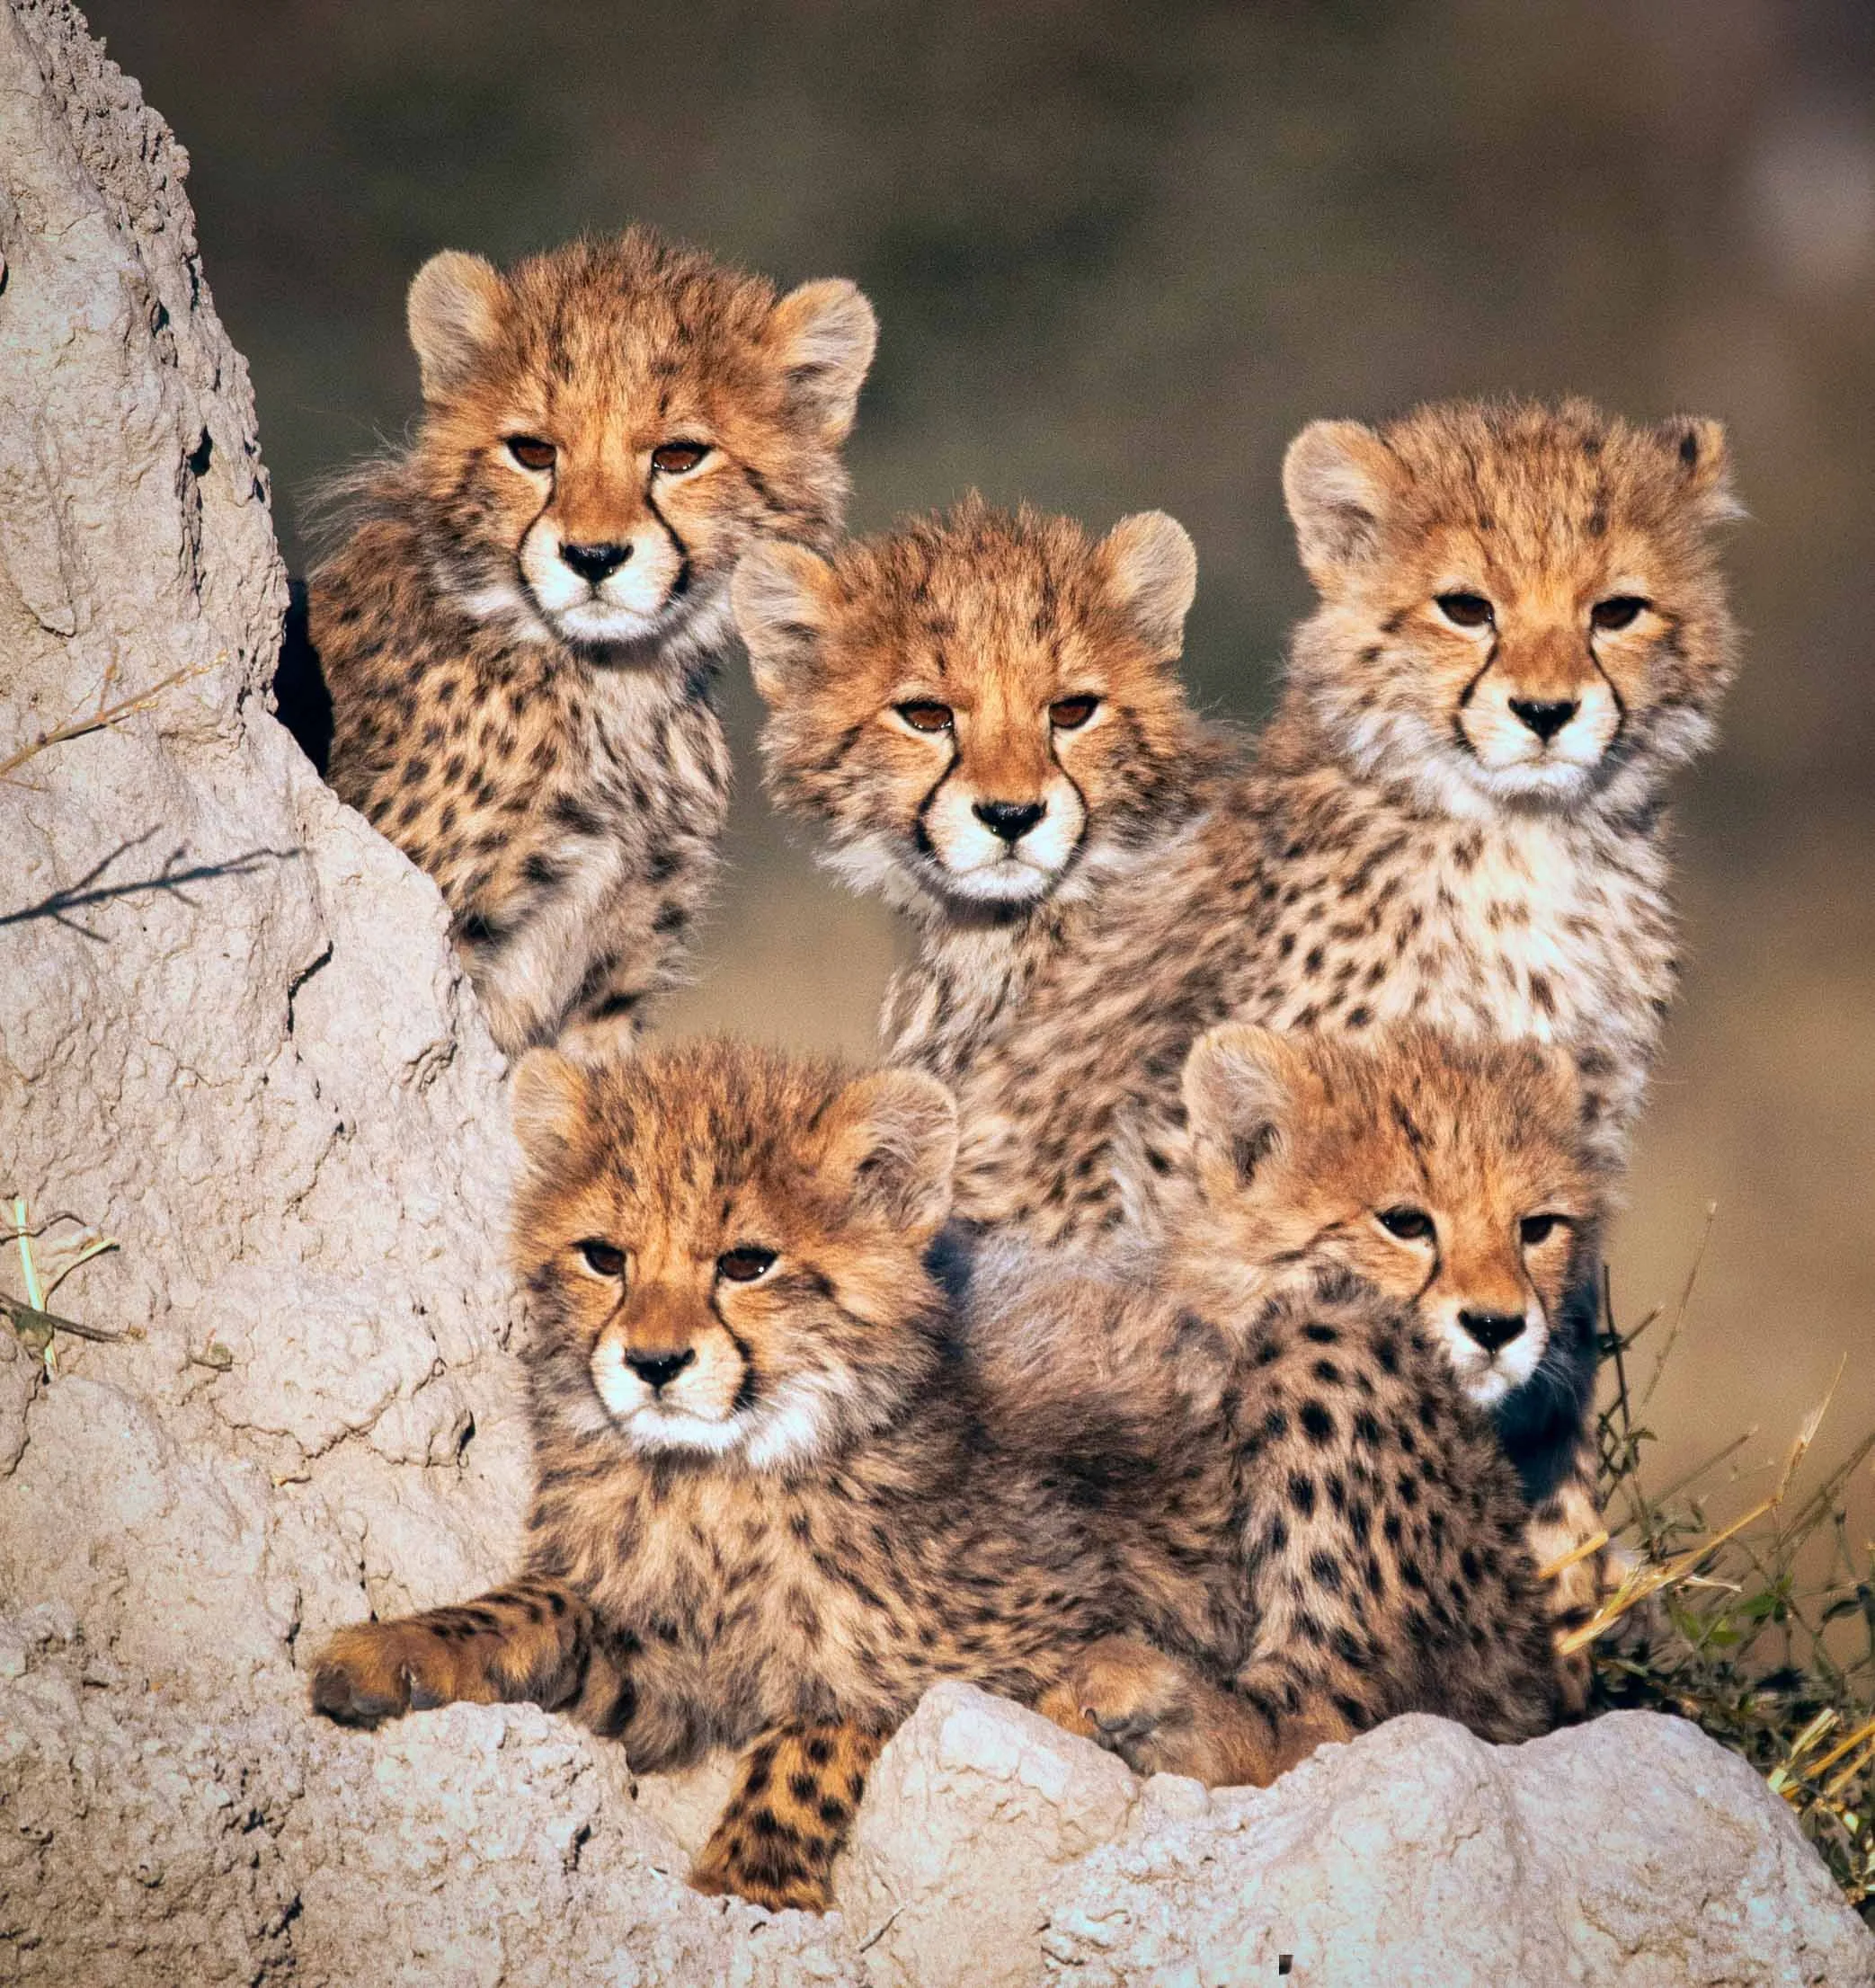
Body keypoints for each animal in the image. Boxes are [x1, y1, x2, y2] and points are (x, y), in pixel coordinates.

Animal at [308, 1036, 1561, 1909]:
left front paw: (753, 1876)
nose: (653, 1363)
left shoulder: (1005, 1641)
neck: (717, 1478)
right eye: (602, 1256)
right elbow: (545, 1606)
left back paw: (1146, 1699)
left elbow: (826, 1724)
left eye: (747, 1263)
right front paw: (403, 1645)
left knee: (1327, 1719)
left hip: (1326, 1341)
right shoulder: (669, 1673)